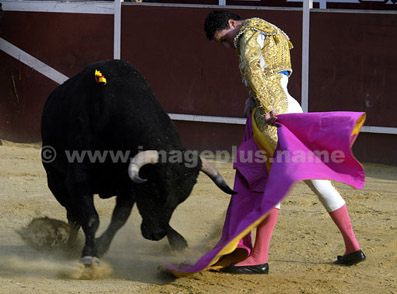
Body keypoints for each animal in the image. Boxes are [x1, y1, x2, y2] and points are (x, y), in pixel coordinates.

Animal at [40, 59, 234, 264]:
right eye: (155, 190)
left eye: (181, 199)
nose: (155, 234)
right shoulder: (79, 179)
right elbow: (90, 217)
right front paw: (89, 254)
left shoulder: (129, 187)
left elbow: (119, 219)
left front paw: (100, 247)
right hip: (54, 178)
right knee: (73, 214)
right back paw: (70, 245)